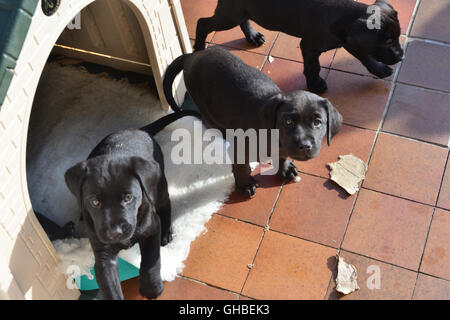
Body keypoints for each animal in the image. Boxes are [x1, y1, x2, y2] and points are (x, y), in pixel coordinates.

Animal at [64, 110, 198, 300]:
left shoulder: (152, 228)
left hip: (159, 185)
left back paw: (166, 233)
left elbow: (150, 262)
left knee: (165, 203)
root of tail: (139, 129)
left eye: (128, 198)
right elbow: (110, 287)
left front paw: (152, 289)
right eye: (95, 202)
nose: (115, 233)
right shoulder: (103, 256)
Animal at [192, 0, 402, 94]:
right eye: (387, 42)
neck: (341, 15)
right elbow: (313, 67)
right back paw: (198, 50)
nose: (401, 56)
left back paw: (252, 36)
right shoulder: (309, 46)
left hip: (237, 12)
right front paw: (315, 85)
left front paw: (379, 69)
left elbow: (365, 56)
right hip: (229, 15)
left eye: (398, 37)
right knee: (203, 23)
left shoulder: (349, 41)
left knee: (243, 20)